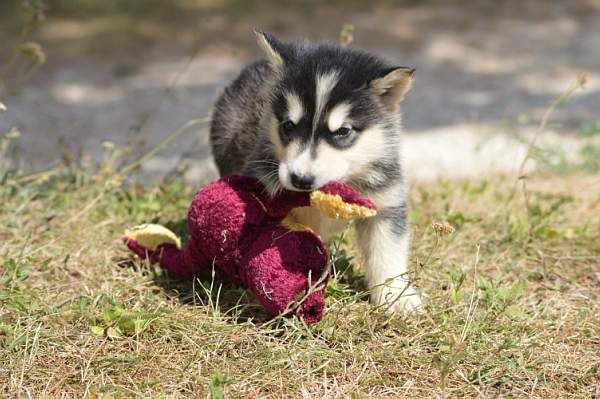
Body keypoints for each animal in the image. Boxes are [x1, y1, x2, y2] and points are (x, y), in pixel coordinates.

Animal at [211, 32, 422, 314]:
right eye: (288, 126)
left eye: (343, 131)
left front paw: (397, 296)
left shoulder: (385, 202)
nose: (300, 179)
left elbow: (388, 251)